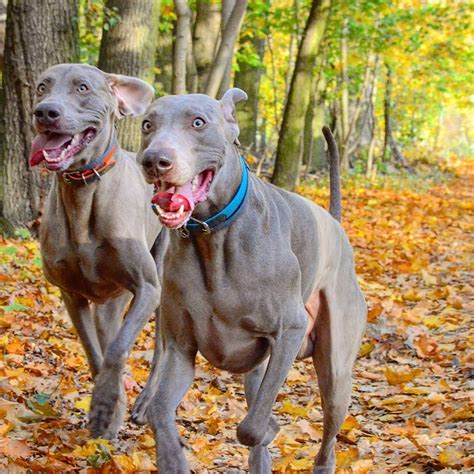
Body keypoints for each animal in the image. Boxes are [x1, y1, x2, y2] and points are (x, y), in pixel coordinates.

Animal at [29, 64, 167, 440]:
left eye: (82, 88)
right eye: (42, 86)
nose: (45, 112)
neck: (83, 191)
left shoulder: (147, 287)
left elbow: (117, 350)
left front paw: (105, 406)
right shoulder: (70, 292)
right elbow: (96, 353)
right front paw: (108, 408)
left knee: (162, 347)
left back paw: (145, 404)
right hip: (111, 299)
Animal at [137, 88, 366, 470]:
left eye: (198, 122)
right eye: (146, 125)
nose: (154, 160)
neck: (212, 237)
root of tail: (334, 224)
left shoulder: (289, 330)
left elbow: (252, 427)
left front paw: (270, 427)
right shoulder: (181, 348)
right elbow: (159, 411)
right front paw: (173, 459)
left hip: (335, 372)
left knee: (328, 436)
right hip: (259, 369)